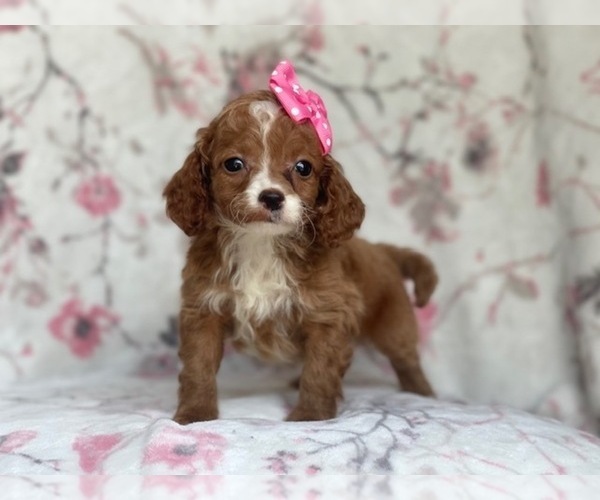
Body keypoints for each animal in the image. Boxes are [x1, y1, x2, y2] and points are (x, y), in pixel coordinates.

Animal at [163, 89, 436, 422]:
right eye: (234, 164)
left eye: (303, 167)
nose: (272, 197)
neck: (261, 243)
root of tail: (381, 249)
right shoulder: (203, 309)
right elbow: (198, 367)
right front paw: (195, 414)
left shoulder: (328, 315)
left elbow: (320, 369)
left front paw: (310, 415)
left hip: (394, 326)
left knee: (407, 360)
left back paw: (423, 394)